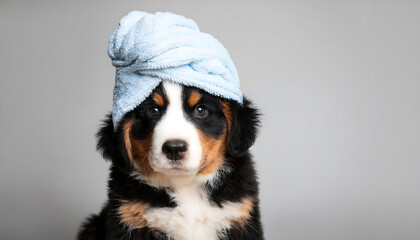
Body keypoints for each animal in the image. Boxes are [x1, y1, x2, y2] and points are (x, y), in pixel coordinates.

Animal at [78, 79, 262, 239]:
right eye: (153, 111)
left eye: (200, 110)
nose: (174, 148)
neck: (185, 185)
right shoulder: (128, 216)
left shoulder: (239, 216)